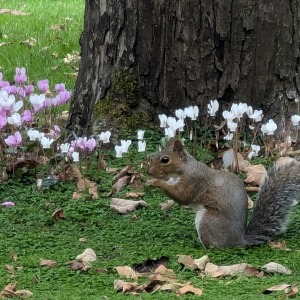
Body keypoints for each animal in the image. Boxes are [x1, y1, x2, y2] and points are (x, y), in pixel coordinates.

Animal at [148, 138, 300, 248]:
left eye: (165, 159)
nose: (149, 172)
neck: (185, 168)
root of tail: (239, 241)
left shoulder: (193, 182)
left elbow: (182, 196)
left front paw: (155, 182)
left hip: (208, 221)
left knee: (214, 246)